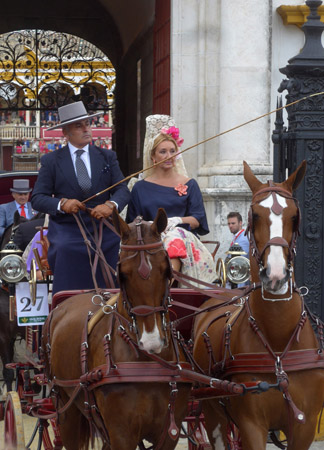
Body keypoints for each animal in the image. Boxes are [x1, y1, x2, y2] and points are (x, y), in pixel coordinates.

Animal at [40, 209, 192, 450]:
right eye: (123, 273)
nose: (151, 341)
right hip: (66, 408)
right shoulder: (121, 433)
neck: (147, 363)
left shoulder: (170, 432)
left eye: (166, 270)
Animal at [192, 162, 324, 450]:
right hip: (212, 408)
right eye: (254, 215)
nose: (275, 275)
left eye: (295, 216)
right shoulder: (251, 424)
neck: (278, 342)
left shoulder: (305, 425)